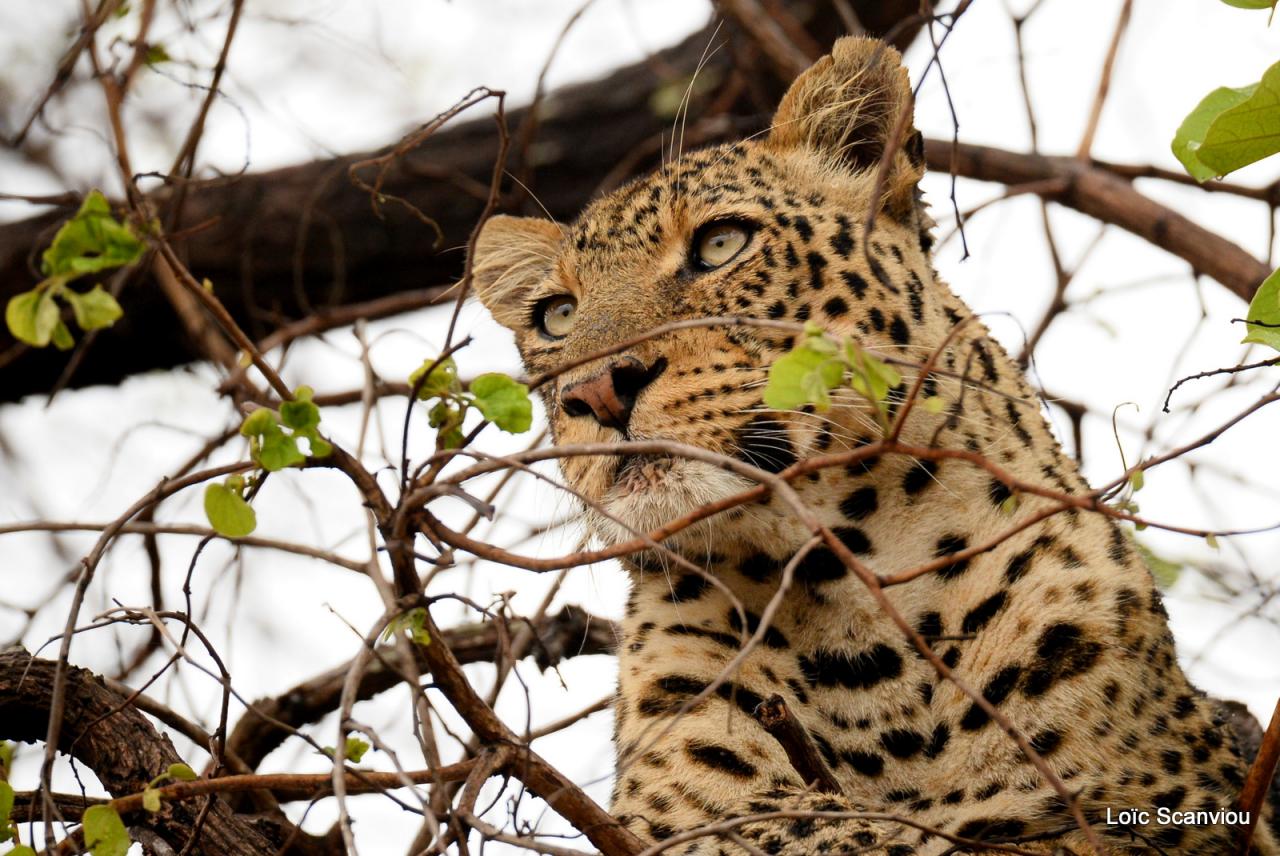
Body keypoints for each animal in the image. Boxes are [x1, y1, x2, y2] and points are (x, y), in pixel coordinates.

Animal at [471, 36, 1280, 849]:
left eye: (721, 243)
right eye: (557, 316)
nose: (597, 392)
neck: (855, 625)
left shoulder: (1158, 809)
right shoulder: (683, 810)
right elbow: (826, 827)